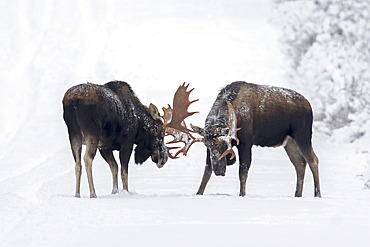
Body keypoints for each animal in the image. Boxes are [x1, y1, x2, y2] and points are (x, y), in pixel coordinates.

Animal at [64, 82, 198, 198]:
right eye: (162, 132)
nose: (163, 159)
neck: (139, 124)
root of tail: (73, 101)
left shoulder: (105, 147)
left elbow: (114, 167)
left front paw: (115, 192)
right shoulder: (127, 144)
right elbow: (124, 172)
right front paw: (126, 192)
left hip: (73, 134)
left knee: (77, 164)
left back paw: (77, 194)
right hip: (92, 134)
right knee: (87, 158)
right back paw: (93, 193)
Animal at [191, 81, 320, 197]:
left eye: (224, 144)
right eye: (207, 144)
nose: (219, 170)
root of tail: (309, 105)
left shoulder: (246, 143)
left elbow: (243, 171)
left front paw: (242, 194)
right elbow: (207, 171)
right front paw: (198, 193)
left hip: (303, 136)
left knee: (313, 160)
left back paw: (317, 194)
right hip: (289, 142)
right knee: (300, 163)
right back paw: (298, 194)